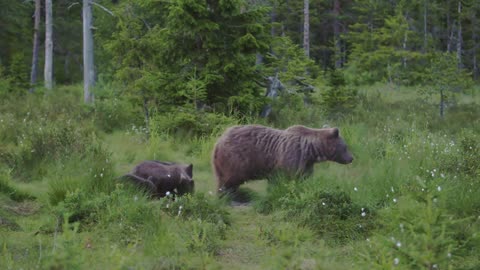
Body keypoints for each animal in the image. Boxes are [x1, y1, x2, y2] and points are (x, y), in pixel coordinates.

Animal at [213, 124, 352, 194]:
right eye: (345, 147)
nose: (351, 158)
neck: (311, 151)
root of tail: (219, 140)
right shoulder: (291, 156)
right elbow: (283, 179)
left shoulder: (306, 164)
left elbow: (303, 178)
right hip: (235, 159)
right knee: (229, 179)